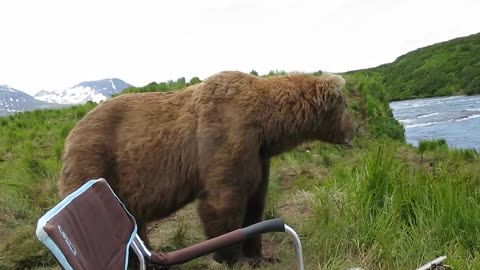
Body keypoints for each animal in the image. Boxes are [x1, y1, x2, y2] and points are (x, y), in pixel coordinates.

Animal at [57, 69, 356, 266]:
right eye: (345, 106)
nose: (354, 129)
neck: (266, 125)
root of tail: (69, 136)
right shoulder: (224, 135)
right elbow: (223, 201)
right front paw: (231, 257)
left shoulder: (258, 155)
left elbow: (255, 202)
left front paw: (261, 254)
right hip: (97, 163)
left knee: (135, 225)